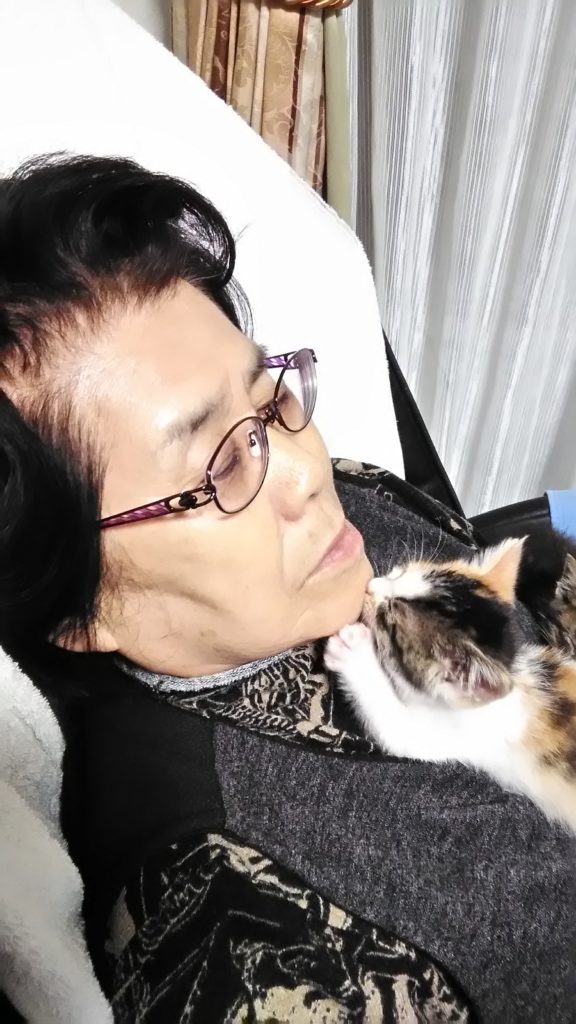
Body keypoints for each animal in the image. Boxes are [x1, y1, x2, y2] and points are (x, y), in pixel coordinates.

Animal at [325, 536, 576, 831]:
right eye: (401, 572)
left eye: (387, 622)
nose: (370, 585)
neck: (514, 675)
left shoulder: (460, 736)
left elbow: (397, 728)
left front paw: (352, 650)